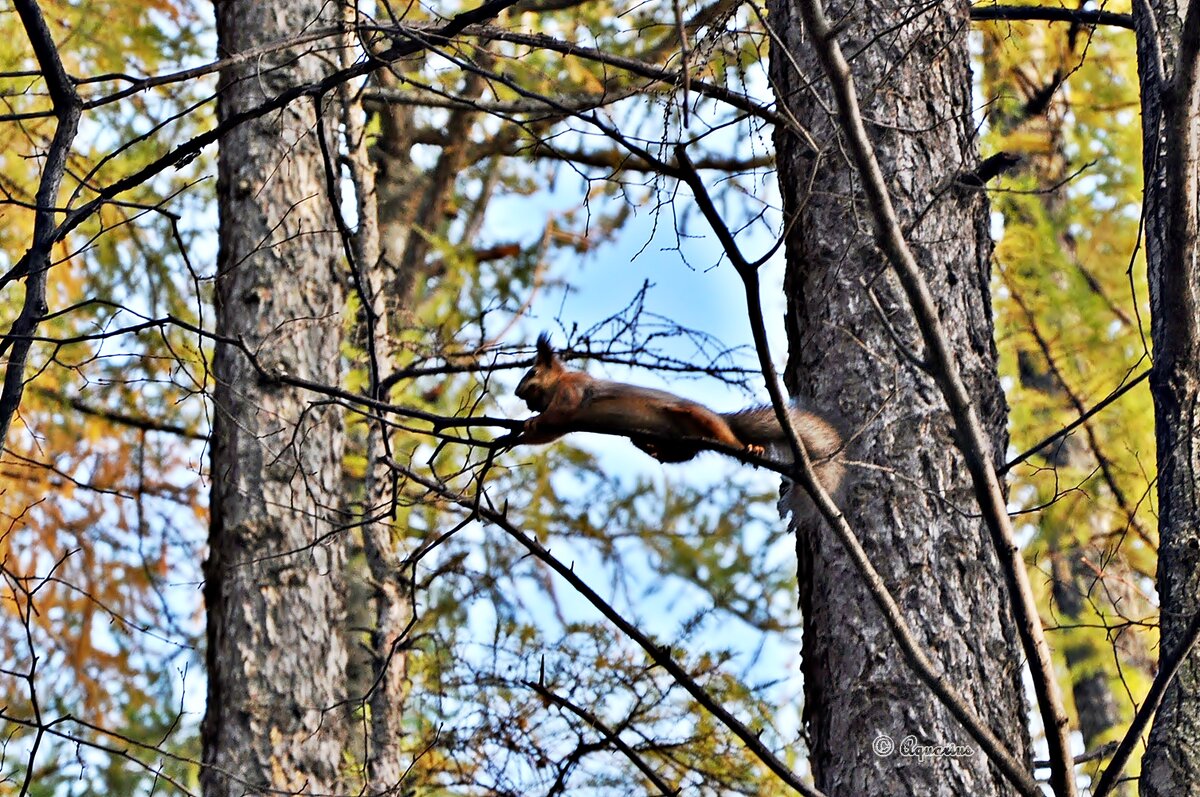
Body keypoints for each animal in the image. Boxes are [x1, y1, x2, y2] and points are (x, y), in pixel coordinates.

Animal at [513, 333, 844, 494]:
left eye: (532, 372)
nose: (518, 394)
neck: (559, 382)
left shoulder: (572, 390)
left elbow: (559, 414)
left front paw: (530, 422)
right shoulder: (566, 419)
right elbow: (553, 431)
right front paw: (522, 434)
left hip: (694, 416)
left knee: (725, 436)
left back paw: (748, 447)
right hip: (683, 442)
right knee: (683, 455)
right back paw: (651, 448)